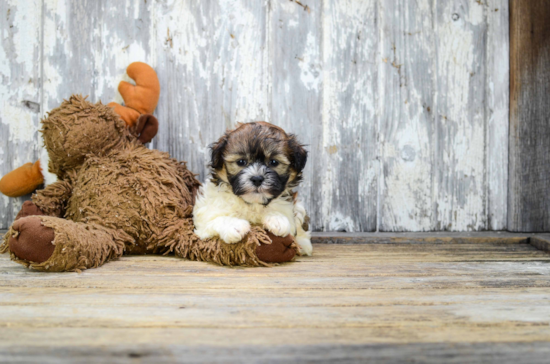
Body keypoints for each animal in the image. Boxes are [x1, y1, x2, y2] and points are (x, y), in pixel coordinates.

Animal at [194, 122, 314, 256]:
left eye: (273, 162)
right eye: (241, 162)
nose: (257, 179)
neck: (252, 203)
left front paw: (277, 219)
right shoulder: (205, 217)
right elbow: (215, 219)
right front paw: (234, 226)